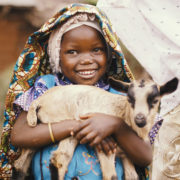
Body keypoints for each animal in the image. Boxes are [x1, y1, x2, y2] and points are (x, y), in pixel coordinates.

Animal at [13, 76, 178, 179]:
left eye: (154, 100)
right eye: (130, 99)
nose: (140, 119)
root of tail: (38, 100)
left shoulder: (127, 155)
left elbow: (133, 176)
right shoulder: (105, 147)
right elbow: (111, 175)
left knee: (23, 162)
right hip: (66, 123)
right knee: (59, 158)